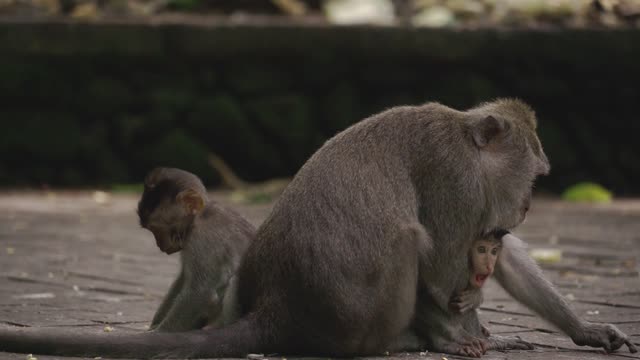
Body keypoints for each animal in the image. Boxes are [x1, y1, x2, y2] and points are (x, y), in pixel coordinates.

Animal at [138, 168, 252, 332]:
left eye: (156, 230)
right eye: (152, 230)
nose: (159, 244)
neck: (199, 217)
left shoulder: (203, 239)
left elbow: (200, 292)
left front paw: (157, 333)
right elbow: (183, 278)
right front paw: (153, 325)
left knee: (233, 280)